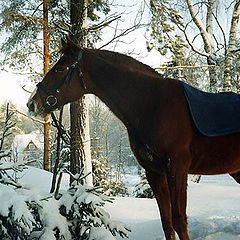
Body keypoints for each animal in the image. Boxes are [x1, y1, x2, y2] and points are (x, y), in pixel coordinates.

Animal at [26, 37, 240, 240]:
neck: (152, 104)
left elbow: (179, 220)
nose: (31, 103)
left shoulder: (177, 168)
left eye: (60, 68)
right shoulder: (153, 172)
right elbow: (167, 222)